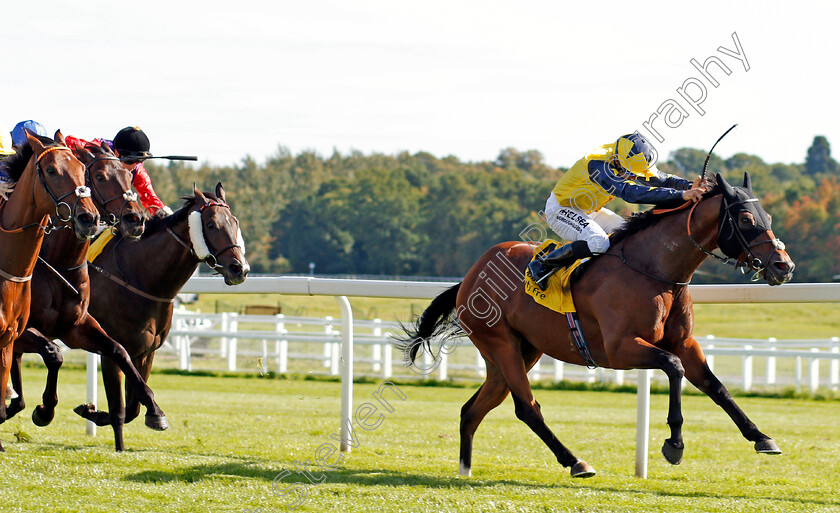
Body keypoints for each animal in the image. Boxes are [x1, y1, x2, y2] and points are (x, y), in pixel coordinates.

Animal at [6, 141, 170, 436]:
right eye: (100, 177)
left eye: (129, 177)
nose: (136, 219)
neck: (58, 262)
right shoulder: (22, 329)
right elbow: (53, 353)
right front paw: (44, 410)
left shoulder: (75, 327)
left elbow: (119, 351)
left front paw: (155, 409)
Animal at [72, 183, 248, 448]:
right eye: (210, 225)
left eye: (234, 222)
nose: (240, 269)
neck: (137, 277)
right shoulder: (111, 349)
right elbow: (119, 409)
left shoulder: (145, 351)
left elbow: (133, 406)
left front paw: (96, 412)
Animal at [400, 172, 796, 476]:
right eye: (745, 220)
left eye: (767, 215)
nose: (784, 266)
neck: (655, 269)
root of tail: (470, 276)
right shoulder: (620, 349)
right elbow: (674, 367)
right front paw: (675, 443)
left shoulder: (685, 342)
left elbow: (716, 386)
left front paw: (761, 437)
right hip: (501, 345)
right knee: (526, 407)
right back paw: (576, 462)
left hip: (519, 351)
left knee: (474, 409)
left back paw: (465, 469)